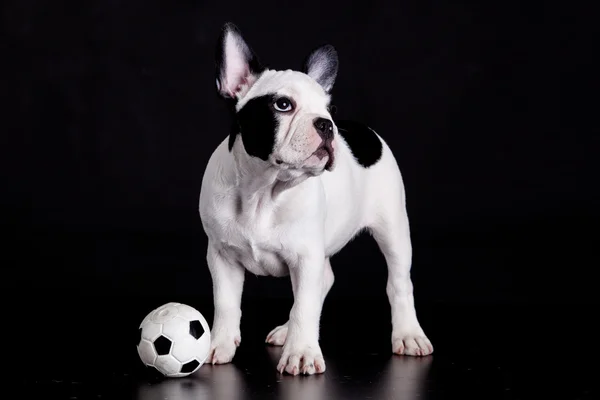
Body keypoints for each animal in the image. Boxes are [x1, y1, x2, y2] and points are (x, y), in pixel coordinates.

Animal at [199, 22, 434, 376]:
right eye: (283, 105)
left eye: (330, 109)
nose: (328, 124)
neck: (263, 192)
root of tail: (364, 131)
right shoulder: (222, 256)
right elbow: (226, 304)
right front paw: (218, 344)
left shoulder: (305, 256)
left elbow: (305, 308)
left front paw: (301, 353)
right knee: (324, 281)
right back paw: (286, 332)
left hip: (393, 229)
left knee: (398, 283)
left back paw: (408, 335)